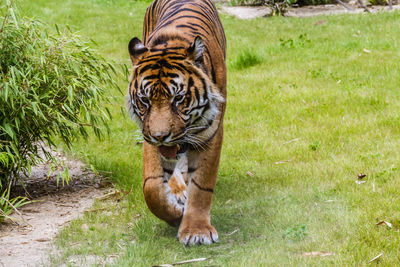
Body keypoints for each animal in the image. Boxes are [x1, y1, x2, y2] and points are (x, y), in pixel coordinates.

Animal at [126, 0, 225, 247]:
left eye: (178, 98)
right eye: (144, 100)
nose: (161, 136)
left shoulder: (211, 132)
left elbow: (202, 185)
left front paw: (196, 230)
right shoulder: (148, 134)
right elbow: (152, 187)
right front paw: (174, 215)